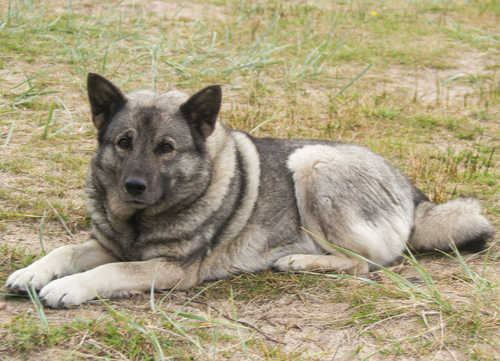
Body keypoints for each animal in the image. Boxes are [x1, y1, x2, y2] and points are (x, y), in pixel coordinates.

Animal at [5, 72, 494, 306]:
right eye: (124, 143)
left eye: (166, 148)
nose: (134, 186)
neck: (140, 222)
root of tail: (414, 194)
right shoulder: (108, 245)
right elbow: (66, 250)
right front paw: (33, 272)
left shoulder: (171, 270)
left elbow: (111, 272)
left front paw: (70, 288)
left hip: (312, 161)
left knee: (368, 263)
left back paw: (300, 261)